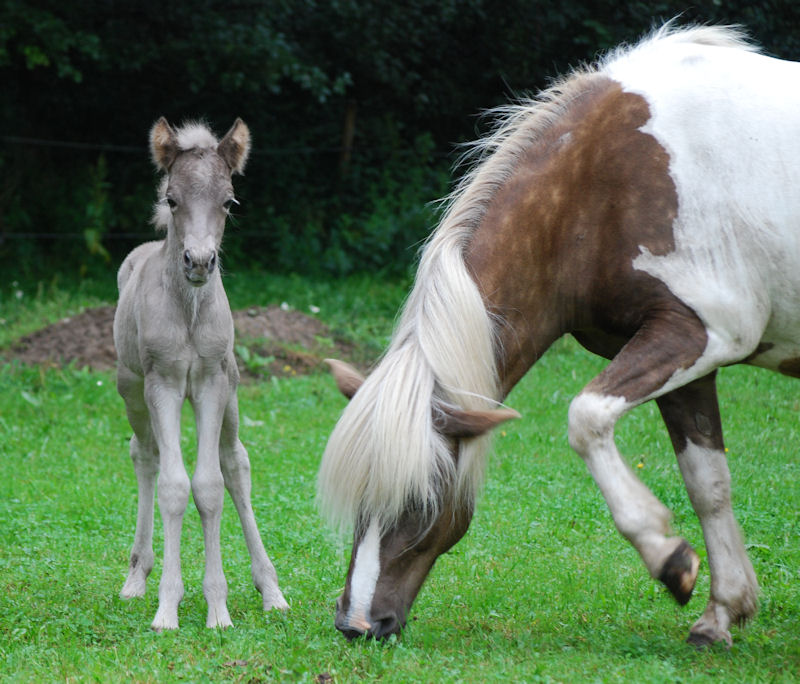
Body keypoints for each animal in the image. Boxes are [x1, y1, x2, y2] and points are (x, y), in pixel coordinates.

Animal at [112, 117, 288, 632]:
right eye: (172, 199)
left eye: (229, 201)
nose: (199, 262)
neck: (189, 311)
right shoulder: (164, 385)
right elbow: (174, 486)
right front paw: (167, 608)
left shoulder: (211, 383)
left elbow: (209, 486)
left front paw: (218, 610)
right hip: (131, 390)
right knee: (145, 457)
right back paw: (137, 577)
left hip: (231, 396)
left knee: (235, 464)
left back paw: (272, 591)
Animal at [316, 25, 796, 648]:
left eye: (422, 501)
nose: (355, 624)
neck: (602, 179)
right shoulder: (692, 362)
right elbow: (709, 483)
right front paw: (723, 612)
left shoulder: (697, 334)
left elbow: (586, 418)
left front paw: (668, 560)